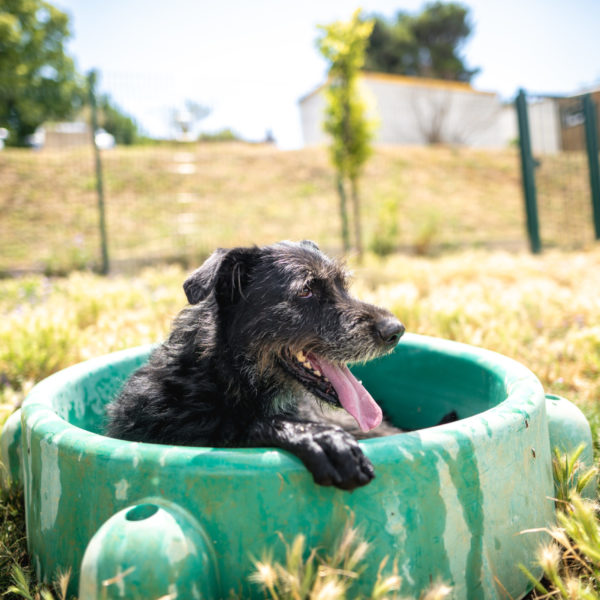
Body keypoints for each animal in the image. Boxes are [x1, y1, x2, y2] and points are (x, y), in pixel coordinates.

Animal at [106, 241, 406, 490]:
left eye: (342, 285)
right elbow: (240, 428)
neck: (223, 379)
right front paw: (318, 438)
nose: (395, 330)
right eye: (305, 290)